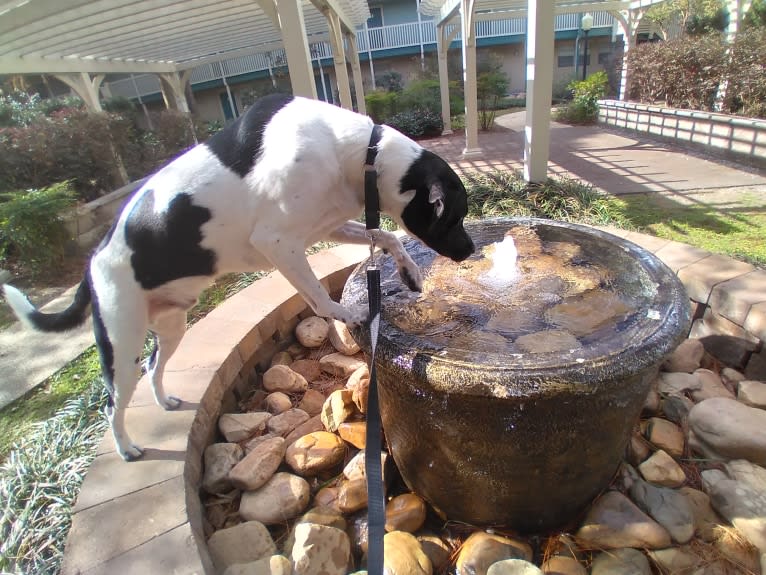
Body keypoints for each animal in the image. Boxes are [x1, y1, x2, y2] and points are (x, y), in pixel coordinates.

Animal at [3, 95, 474, 464]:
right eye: (453, 217)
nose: (471, 251)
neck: (359, 153)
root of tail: (94, 260)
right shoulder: (279, 242)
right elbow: (319, 296)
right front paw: (350, 311)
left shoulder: (323, 226)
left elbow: (385, 234)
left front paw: (409, 272)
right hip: (121, 344)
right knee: (112, 402)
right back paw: (125, 447)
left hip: (170, 327)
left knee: (154, 365)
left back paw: (164, 400)